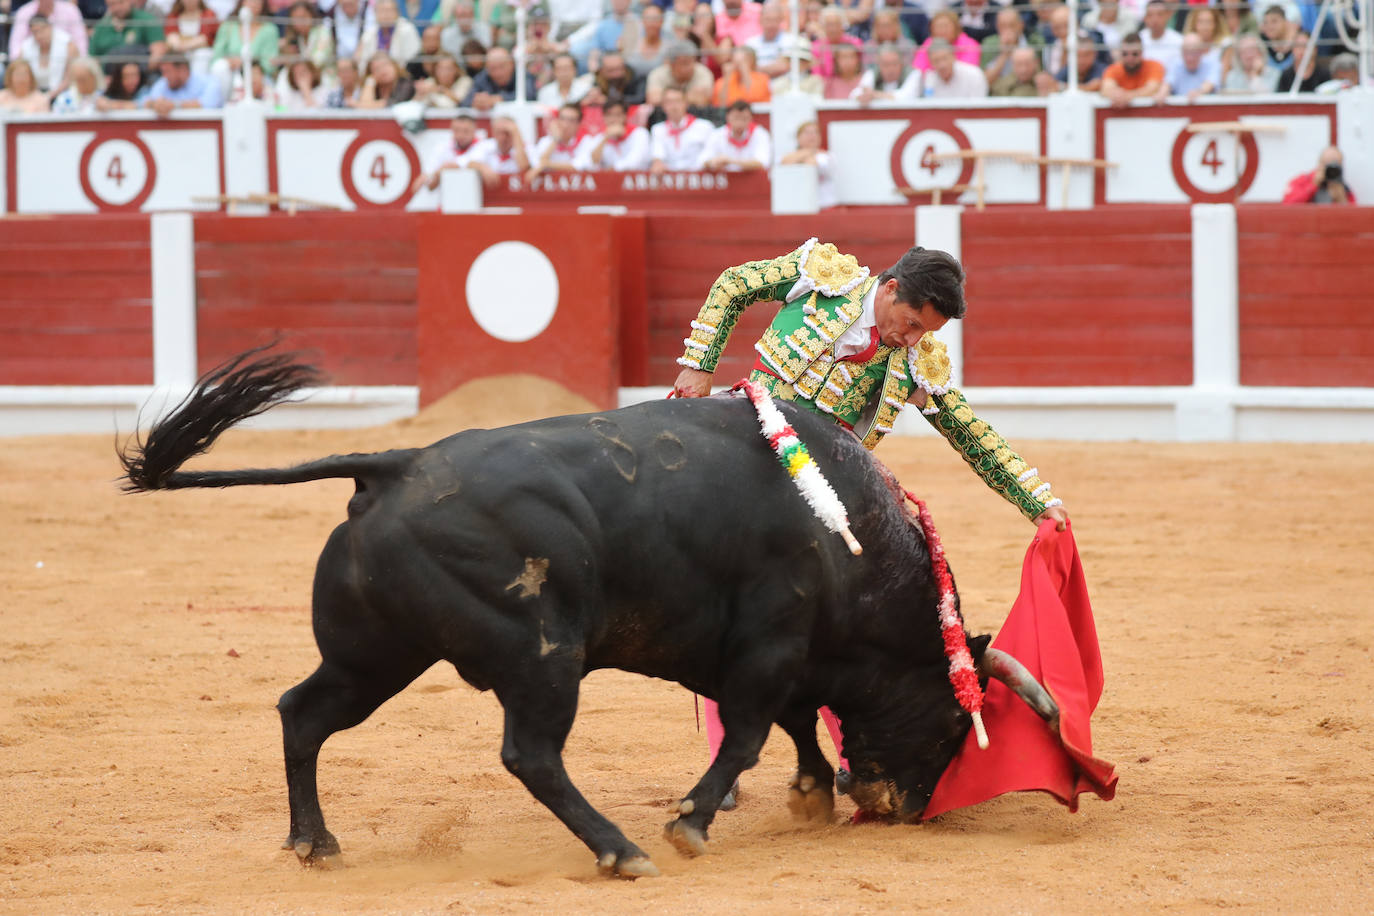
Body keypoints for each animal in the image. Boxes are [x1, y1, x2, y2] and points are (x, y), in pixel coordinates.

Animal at [120, 351, 1060, 878]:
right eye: (955, 720)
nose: (902, 806)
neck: (850, 539)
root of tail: (395, 466)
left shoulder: (770, 654)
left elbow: (793, 723)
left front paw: (806, 795)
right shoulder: (769, 641)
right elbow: (753, 732)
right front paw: (691, 822)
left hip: (374, 656)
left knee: (303, 713)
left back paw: (315, 844)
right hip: (543, 657)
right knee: (531, 754)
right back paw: (622, 851)